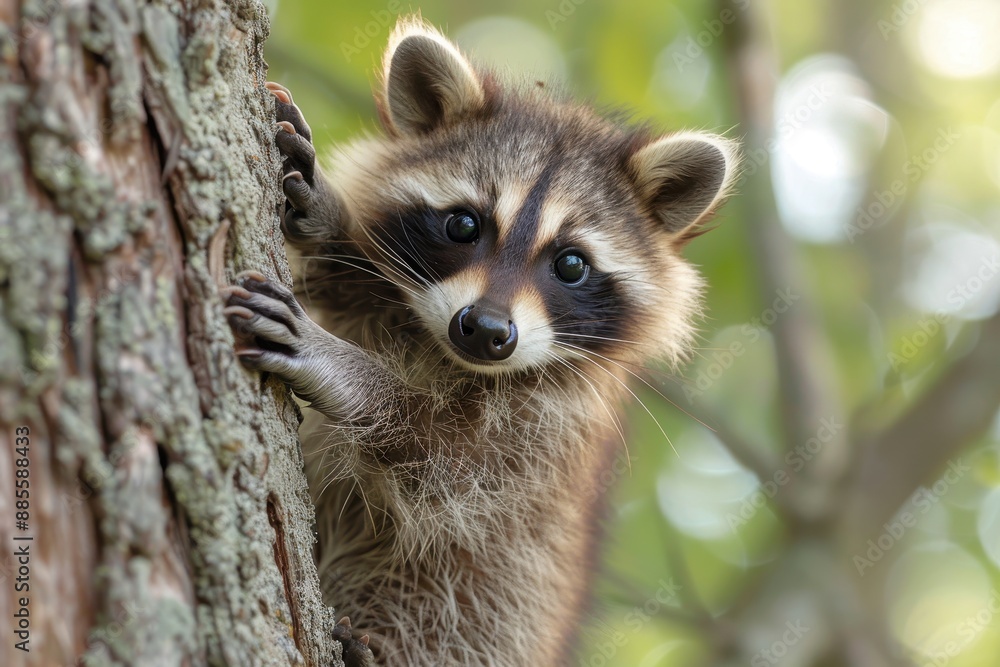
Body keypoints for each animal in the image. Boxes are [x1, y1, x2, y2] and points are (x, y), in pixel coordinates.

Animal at [224, 16, 737, 667]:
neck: (436, 349)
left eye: (571, 265)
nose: (487, 330)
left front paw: (347, 372)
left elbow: (445, 466)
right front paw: (327, 218)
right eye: (464, 224)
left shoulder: (545, 437)